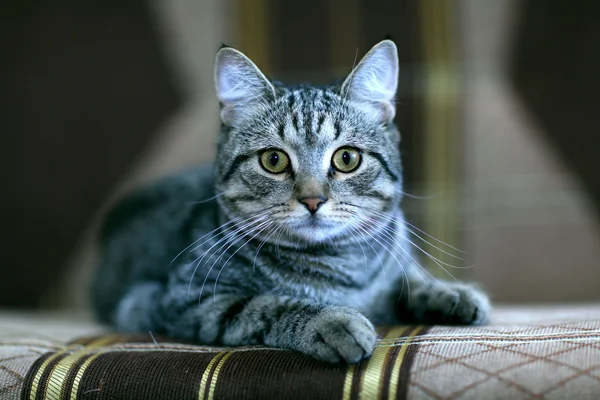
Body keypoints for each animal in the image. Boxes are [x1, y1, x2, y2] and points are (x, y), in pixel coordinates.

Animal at [91, 39, 490, 362]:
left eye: (347, 158)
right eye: (274, 160)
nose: (313, 199)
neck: (342, 270)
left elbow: (410, 282)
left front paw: (450, 294)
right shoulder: (183, 302)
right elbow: (269, 304)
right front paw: (332, 320)